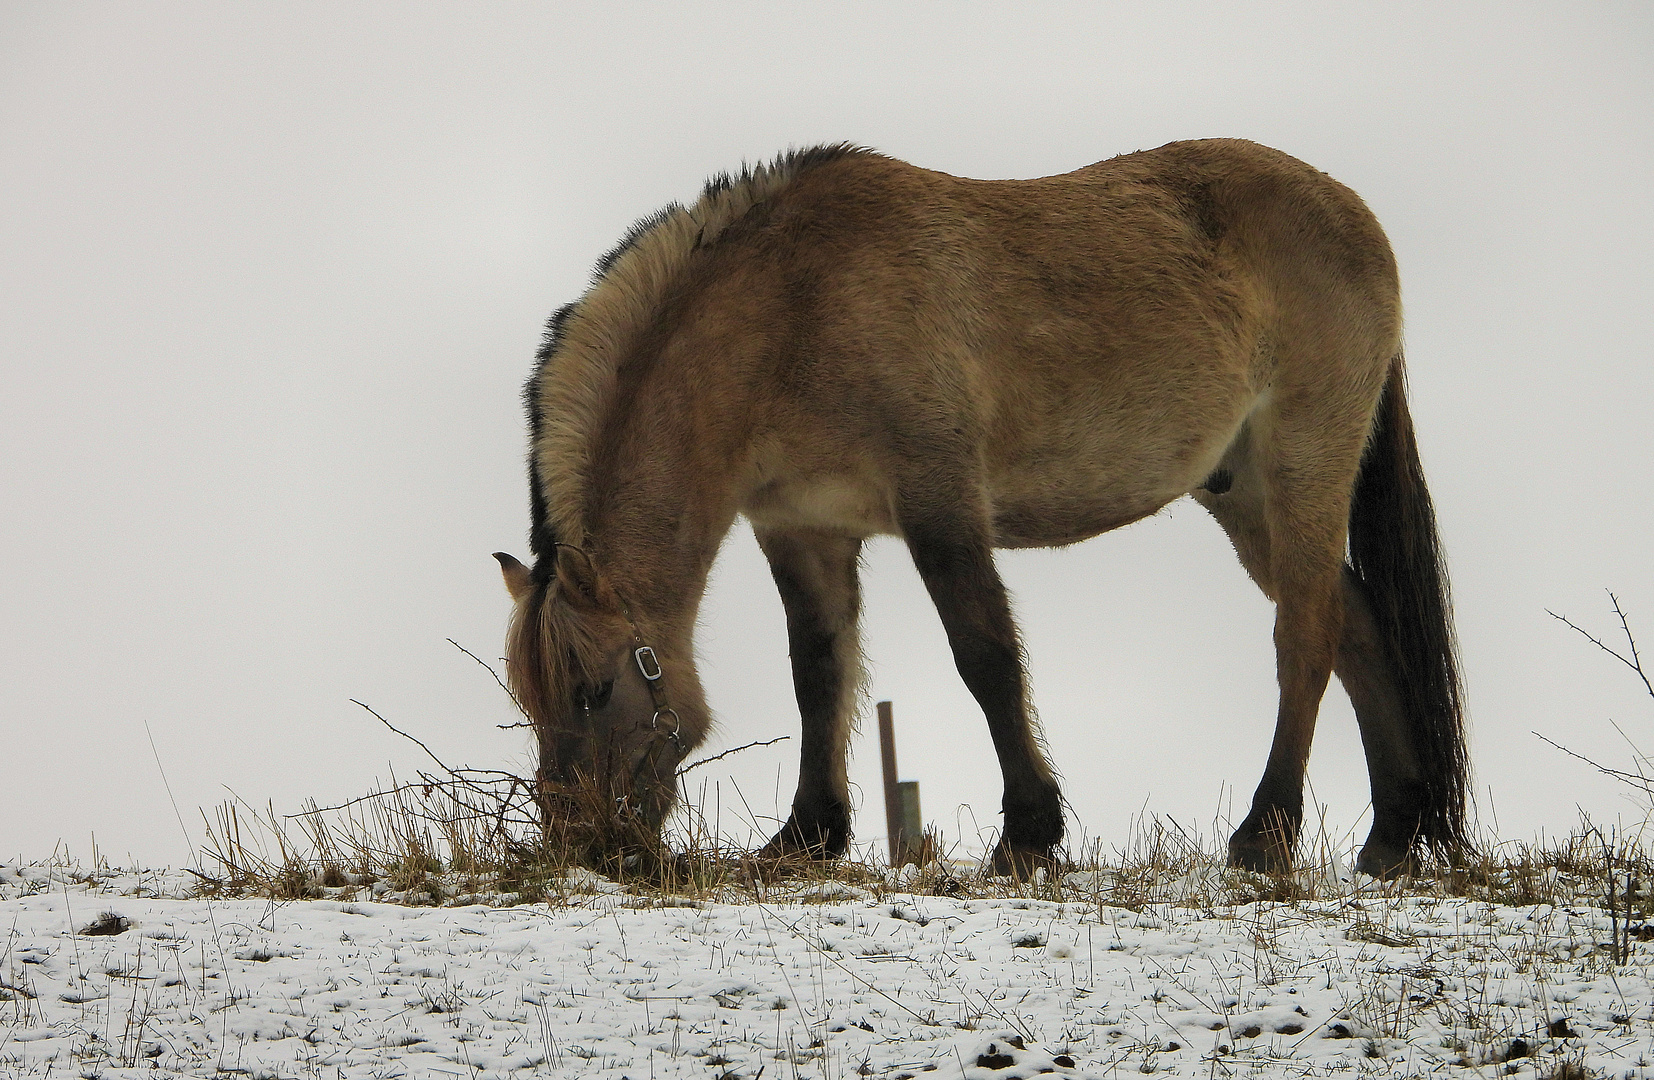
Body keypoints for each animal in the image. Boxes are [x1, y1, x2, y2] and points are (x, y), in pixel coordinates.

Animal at [492, 137, 1475, 873]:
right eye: (535, 702)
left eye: (595, 690)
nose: (583, 843)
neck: (792, 305)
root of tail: (1349, 211)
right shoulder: (803, 529)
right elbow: (821, 675)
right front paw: (806, 837)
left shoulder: (940, 504)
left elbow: (987, 659)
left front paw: (1028, 836)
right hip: (1241, 494)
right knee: (1356, 621)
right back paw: (1394, 836)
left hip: (1304, 462)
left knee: (1307, 634)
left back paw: (1266, 837)